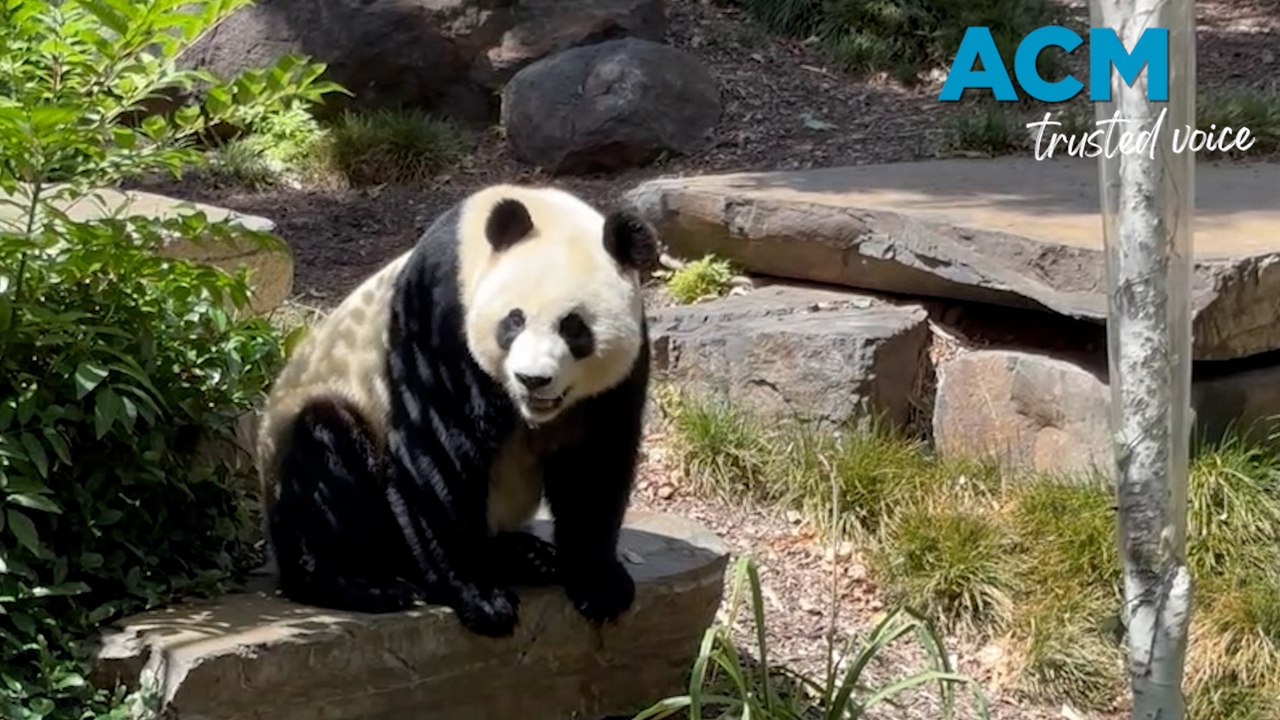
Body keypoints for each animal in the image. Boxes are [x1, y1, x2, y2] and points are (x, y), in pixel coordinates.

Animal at [254, 183, 657, 638]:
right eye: (513, 321)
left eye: (574, 328)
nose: (532, 379)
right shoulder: (439, 316)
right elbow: (437, 452)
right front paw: (481, 598)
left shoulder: (621, 372)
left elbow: (595, 463)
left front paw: (600, 584)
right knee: (325, 453)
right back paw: (363, 585)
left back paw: (526, 555)